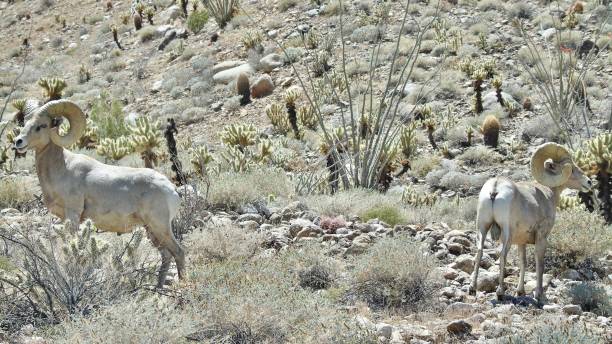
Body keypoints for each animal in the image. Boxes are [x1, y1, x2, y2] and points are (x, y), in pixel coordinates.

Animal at [13, 99, 184, 288]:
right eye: (24, 123)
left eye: (41, 126)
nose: (18, 142)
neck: (62, 168)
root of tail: (172, 190)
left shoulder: (73, 215)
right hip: (151, 230)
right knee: (166, 255)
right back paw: (157, 288)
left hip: (160, 227)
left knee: (179, 252)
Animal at [470, 144, 592, 302]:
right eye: (571, 168)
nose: (589, 182)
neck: (548, 193)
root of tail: (495, 188)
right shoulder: (541, 237)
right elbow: (540, 264)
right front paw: (539, 294)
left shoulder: (521, 242)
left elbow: (524, 263)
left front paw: (520, 291)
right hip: (507, 233)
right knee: (503, 255)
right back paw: (500, 292)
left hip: (482, 227)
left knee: (479, 252)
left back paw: (472, 288)